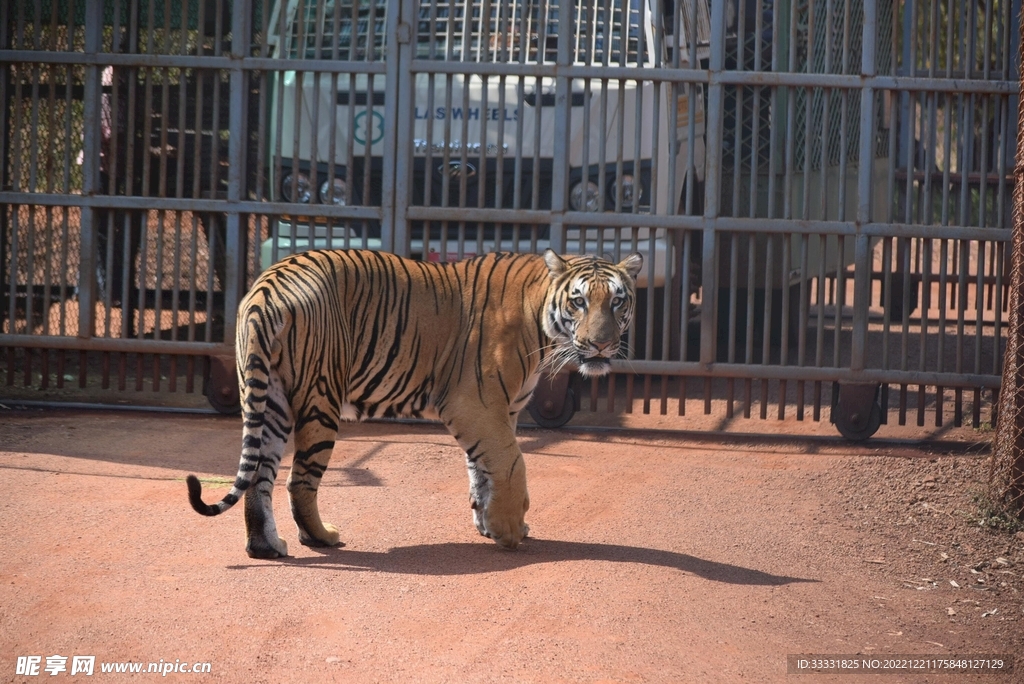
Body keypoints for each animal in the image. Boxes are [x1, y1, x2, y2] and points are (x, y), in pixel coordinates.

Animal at [186, 248, 642, 558]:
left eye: (617, 300)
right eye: (579, 301)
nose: (602, 345)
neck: (542, 321)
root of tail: (268, 285)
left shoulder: (502, 410)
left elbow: (482, 469)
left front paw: (488, 522)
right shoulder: (474, 403)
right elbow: (511, 462)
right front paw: (509, 530)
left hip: (269, 399)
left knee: (259, 477)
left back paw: (265, 546)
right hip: (320, 399)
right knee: (299, 481)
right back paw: (322, 537)